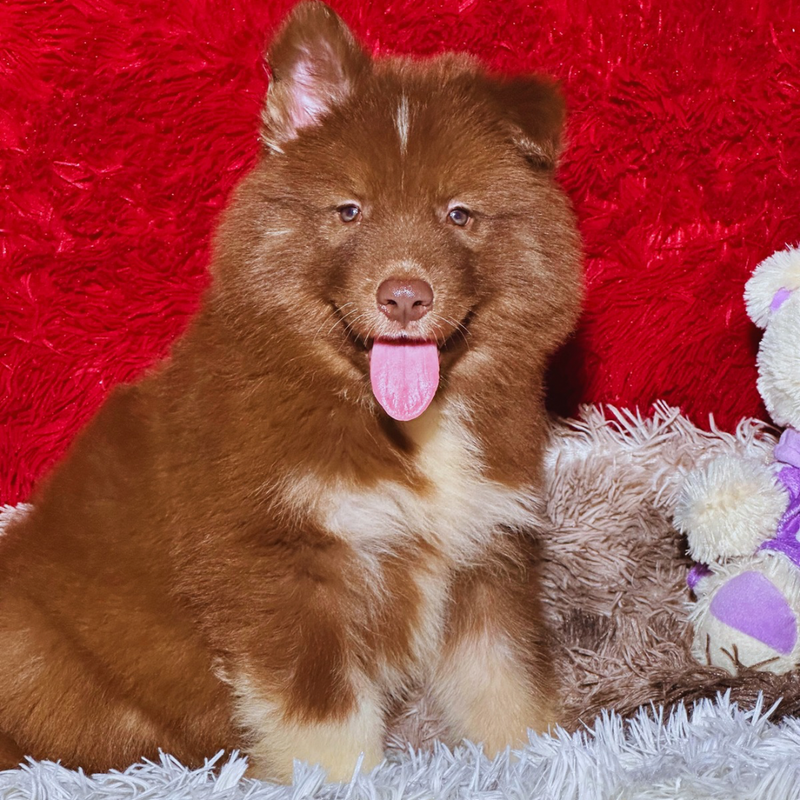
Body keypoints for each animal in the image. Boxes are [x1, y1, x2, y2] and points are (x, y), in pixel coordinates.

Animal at [0, 0, 580, 784]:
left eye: (458, 213)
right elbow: (322, 717)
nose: (404, 297)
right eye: (350, 211)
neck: (403, 425)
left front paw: (540, 760)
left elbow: (508, 687)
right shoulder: (278, 562)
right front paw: (340, 783)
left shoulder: (486, 550)